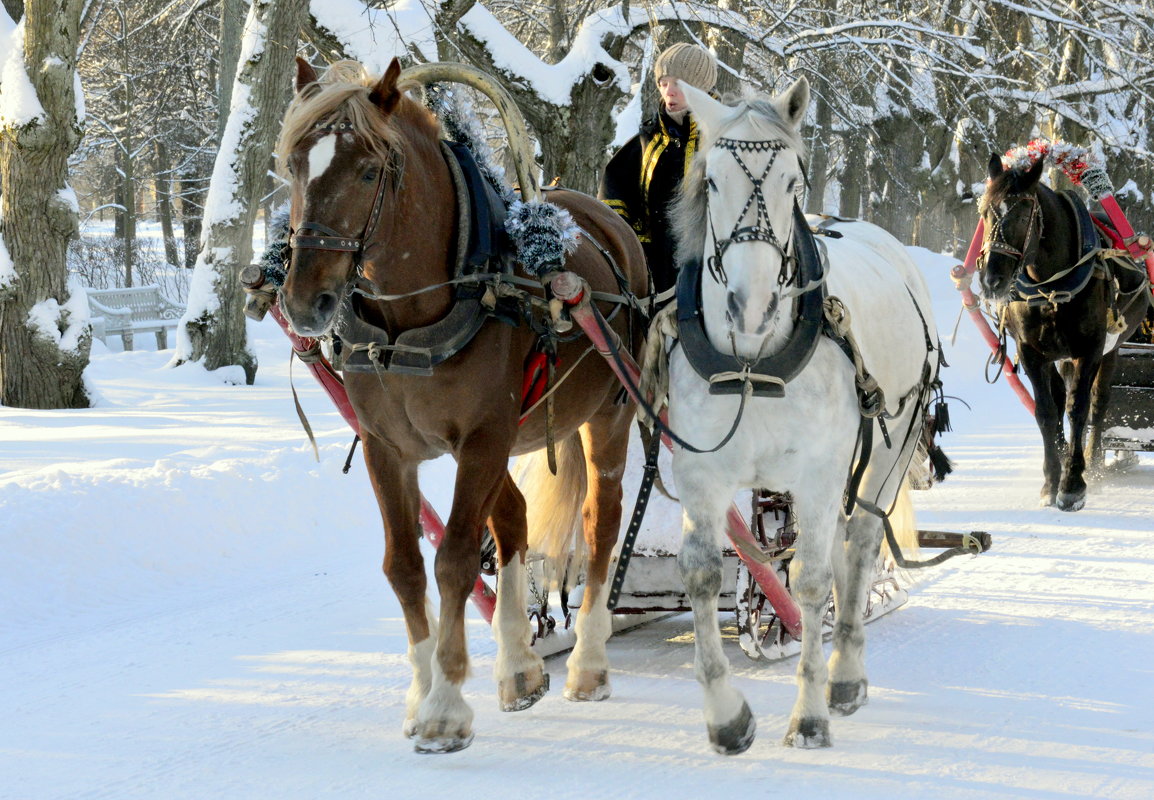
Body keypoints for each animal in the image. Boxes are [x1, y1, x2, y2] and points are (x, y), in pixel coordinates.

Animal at [272, 59, 650, 752]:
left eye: (368, 171)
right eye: (294, 166)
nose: (306, 301)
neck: (409, 320)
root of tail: (599, 216)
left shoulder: (480, 438)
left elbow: (453, 559)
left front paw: (445, 707)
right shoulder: (388, 447)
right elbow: (405, 565)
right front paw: (422, 690)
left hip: (604, 416)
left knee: (600, 524)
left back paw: (588, 662)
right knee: (515, 521)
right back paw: (519, 667)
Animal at [669, 77, 946, 752]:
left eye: (794, 181)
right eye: (712, 182)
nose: (752, 308)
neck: (752, 369)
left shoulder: (819, 475)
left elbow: (814, 582)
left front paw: (810, 713)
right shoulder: (700, 475)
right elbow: (703, 575)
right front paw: (726, 716)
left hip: (887, 453)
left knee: (859, 548)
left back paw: (844, 675)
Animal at [978, 152, 1149, 507]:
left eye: (1023, 213)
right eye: (985, 211)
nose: (991, 280)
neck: (1050, 288)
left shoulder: (1090, 349)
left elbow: (1079, 409)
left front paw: (1073, 483)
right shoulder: (1031, 352)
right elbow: (1046, 411)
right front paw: (1050, 481)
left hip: (1111, 350)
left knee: (1098, 403)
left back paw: (1093, 462)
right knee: (1060, 398)